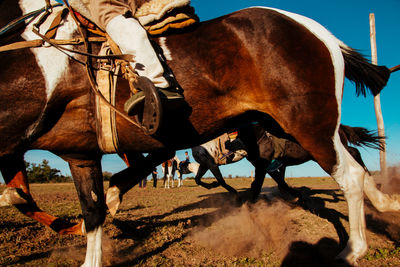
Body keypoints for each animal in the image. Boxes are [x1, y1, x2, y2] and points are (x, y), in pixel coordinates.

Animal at [192, 122, 382, 202]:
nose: (226, 143)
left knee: (354, 152)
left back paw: (367, 174)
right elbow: (278, 182)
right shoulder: (267, 165)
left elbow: (257, 185)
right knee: (354, 152)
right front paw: (296, 195)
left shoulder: (263, 165)